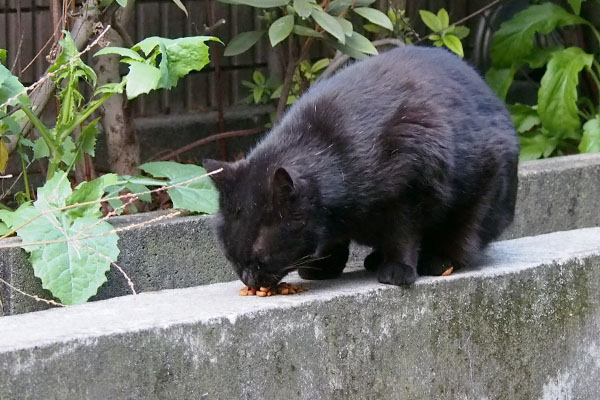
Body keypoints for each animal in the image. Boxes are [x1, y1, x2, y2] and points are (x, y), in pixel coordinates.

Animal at [204, 45, 516, 286]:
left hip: (480, 194)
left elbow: (403, 234)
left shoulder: (412, 188)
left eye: (260, 255)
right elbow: (332, 242)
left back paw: (437, 260)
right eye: (230, 253)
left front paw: (398, 270)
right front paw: (322, 267)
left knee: (462, 236)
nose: (247, 278)